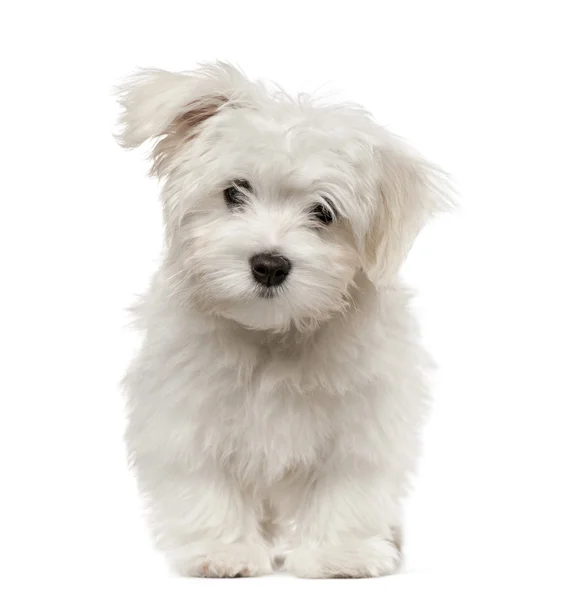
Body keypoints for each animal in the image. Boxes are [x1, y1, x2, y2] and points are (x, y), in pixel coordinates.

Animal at [117, 63, 452, 580]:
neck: (274, 332)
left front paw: (341, 554)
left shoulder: (363, 418)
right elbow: (206, 483)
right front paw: (224, 551)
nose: (270, 265)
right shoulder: (187, 411)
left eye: (324, 212)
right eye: (234, 192)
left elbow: (348, 486)